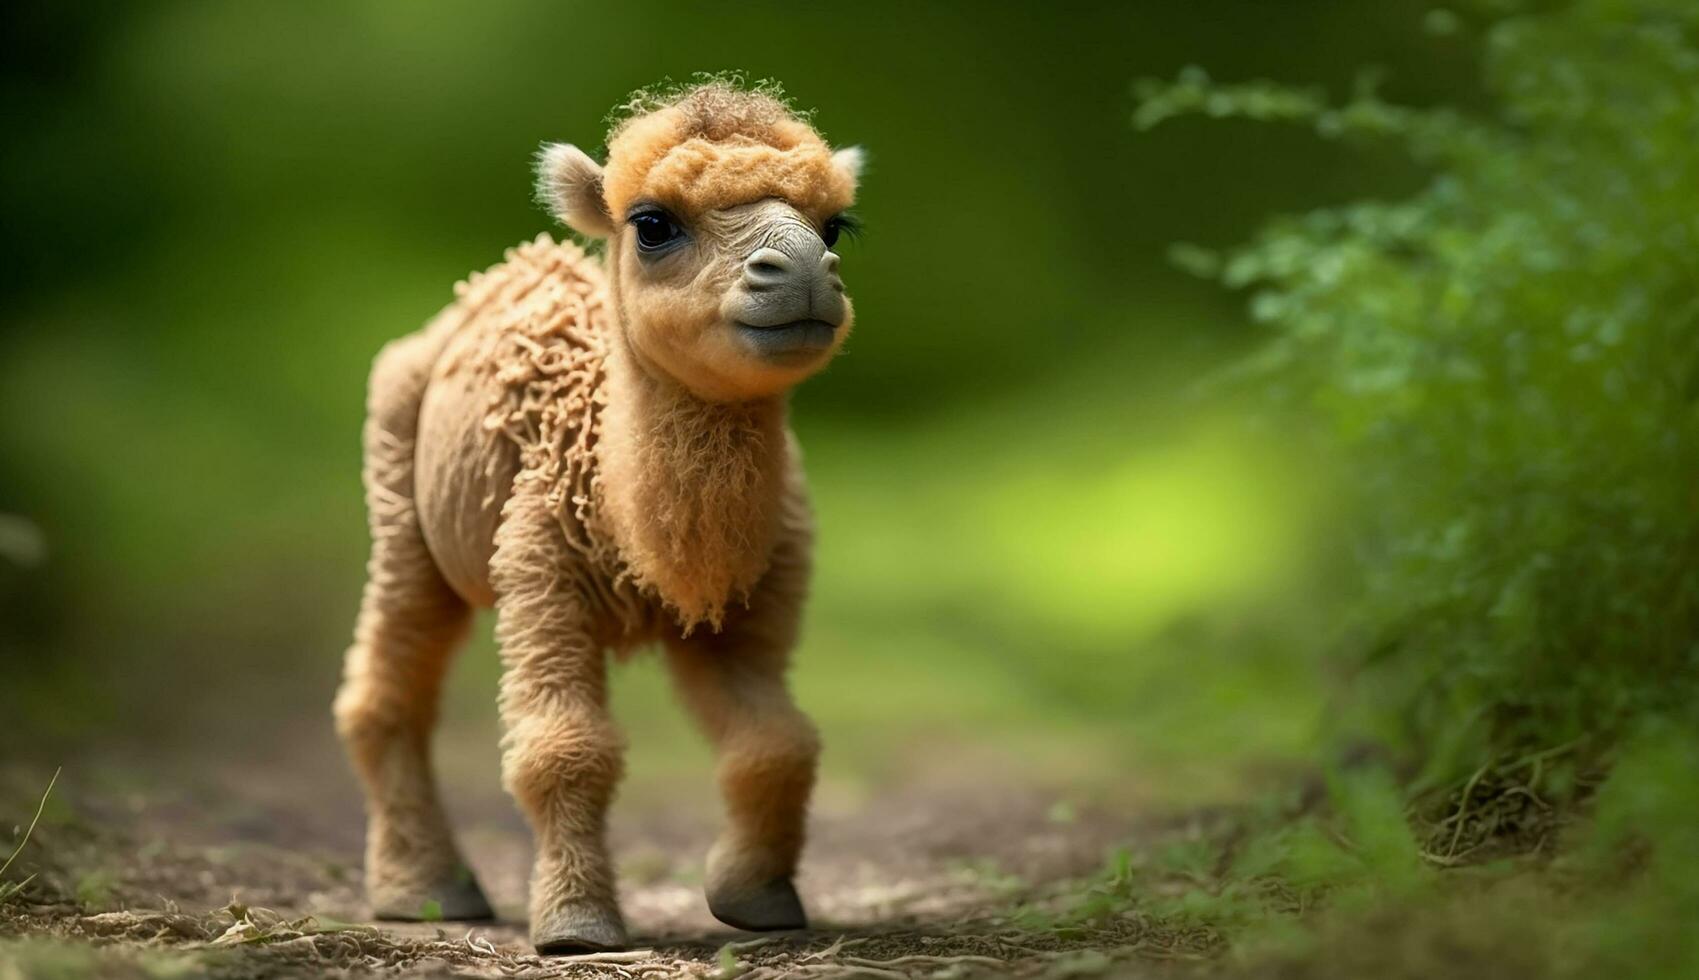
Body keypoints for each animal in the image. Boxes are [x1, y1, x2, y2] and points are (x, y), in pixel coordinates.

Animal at [331, 80, 863, 951]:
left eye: (834, 225)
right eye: (653, 224)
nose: (805, 273)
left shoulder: (748, 597)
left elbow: (776, 741)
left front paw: (759, 901)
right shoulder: (541, 568)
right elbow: (563, 747)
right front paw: (575, 924)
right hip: (398, 495)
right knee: (389, 679)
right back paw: (426, 891)